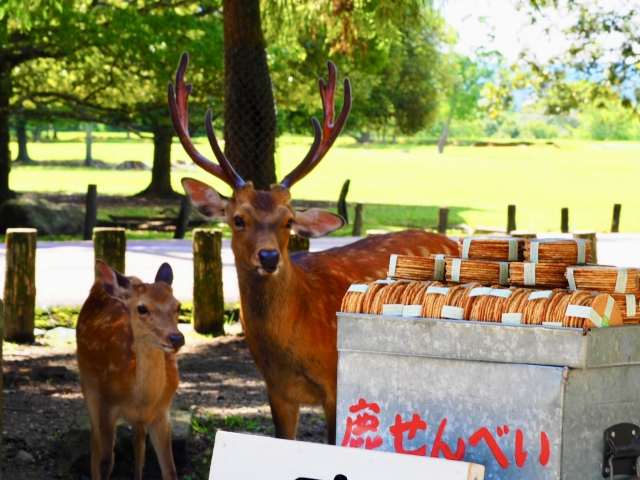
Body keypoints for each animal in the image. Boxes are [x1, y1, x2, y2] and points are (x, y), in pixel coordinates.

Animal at [76, 260, 185, 480]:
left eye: (178, 305)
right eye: (142, 308)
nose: (177, 338)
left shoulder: (162, 413)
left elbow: (170, 470)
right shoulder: (107, 404)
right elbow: (106, 462)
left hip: (138, 420)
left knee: (139, 445)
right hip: (87, 387)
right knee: (95, 443)